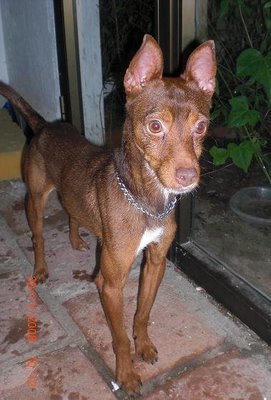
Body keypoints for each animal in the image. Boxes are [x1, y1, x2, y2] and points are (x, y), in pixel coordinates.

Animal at [0, 35, 217, 394]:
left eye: (201, 126)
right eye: (155, 126)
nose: (188, 176)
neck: (146, 200)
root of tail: (45, 127)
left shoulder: (155, 262)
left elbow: (142, 313)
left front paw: (144, 345)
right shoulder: (111, 283)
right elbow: (119, 339)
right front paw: (126, 374)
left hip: (69, 195)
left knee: (72, 210)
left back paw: (76, 239)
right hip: (35, 200)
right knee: (38, 235)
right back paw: (41, 268)